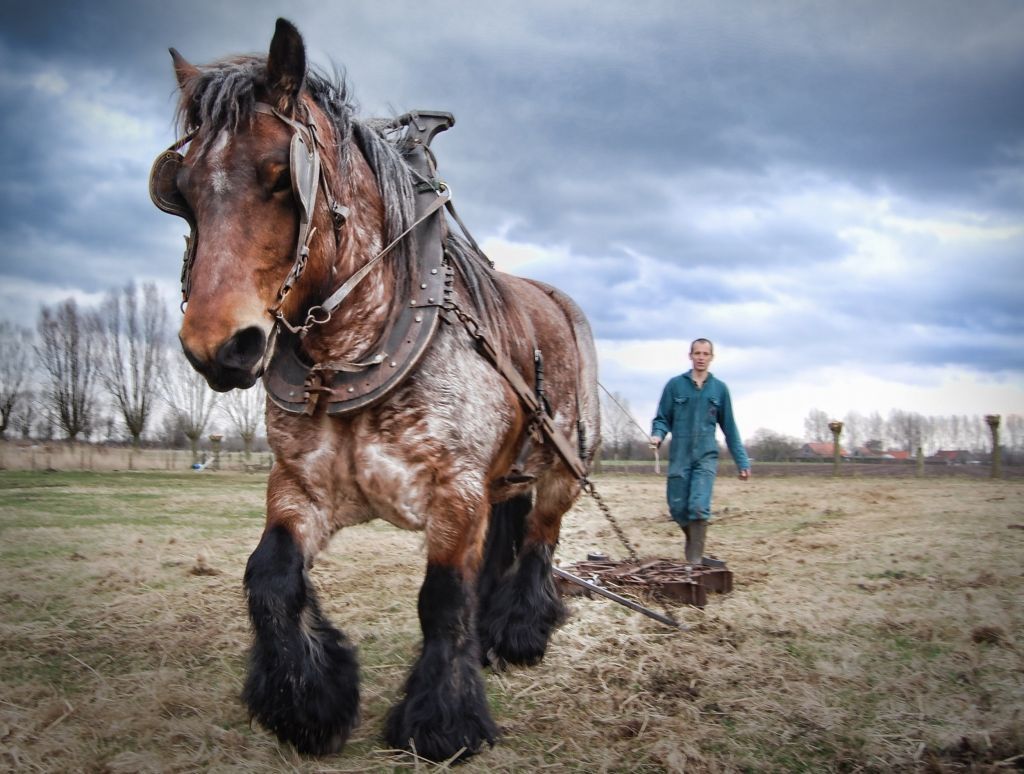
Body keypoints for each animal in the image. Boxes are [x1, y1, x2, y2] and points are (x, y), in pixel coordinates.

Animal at [149, 18, 599, 762]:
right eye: (179, 191)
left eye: (281, 175)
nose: (218, 346)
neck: (353, 353)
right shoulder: (301, 486)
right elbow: (269, 577)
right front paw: (307, 704)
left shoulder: (455, 494)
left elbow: (443, 599)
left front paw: (441, 724)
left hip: (564, 466)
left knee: (540, 538)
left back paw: (518, 633)